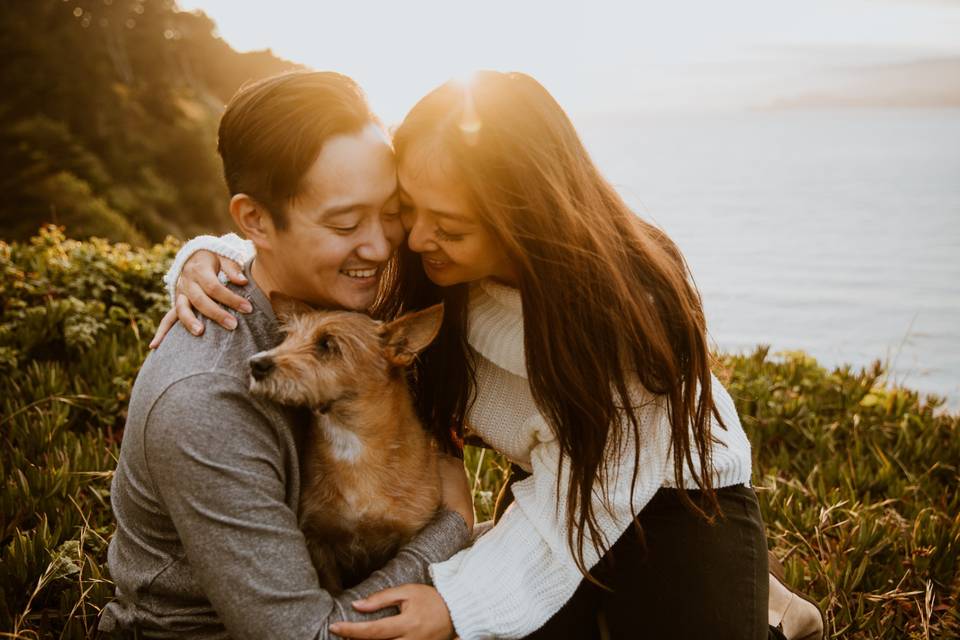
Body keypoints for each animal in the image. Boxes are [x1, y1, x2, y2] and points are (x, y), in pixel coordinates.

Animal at [246, 292, 444, 592]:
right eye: (287, 338)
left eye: (327, 344)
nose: (256, 364)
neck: (351, 442)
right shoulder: (318, 541)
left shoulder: (410, 534)